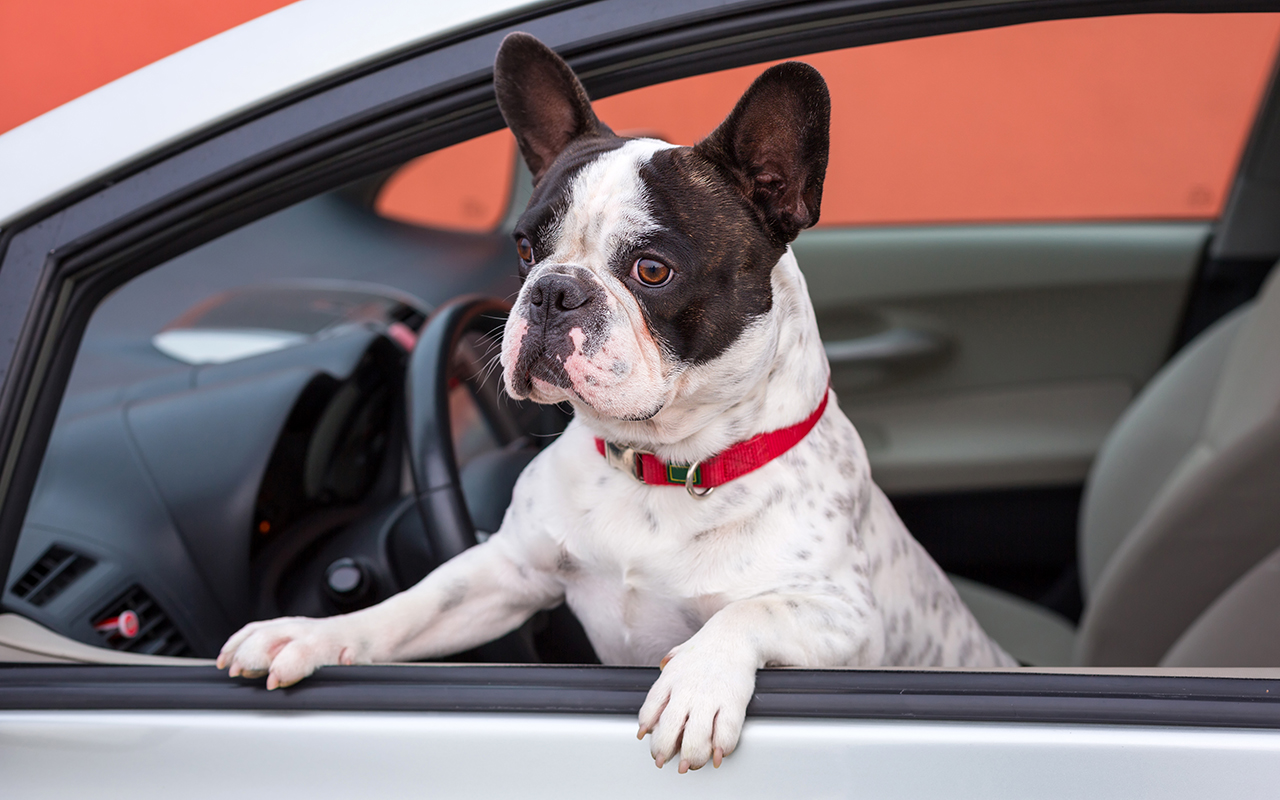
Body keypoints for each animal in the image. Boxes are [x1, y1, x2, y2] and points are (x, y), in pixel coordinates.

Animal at [222, 32, 1018, 773]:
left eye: (652, 270)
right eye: (524, 248)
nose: (552, 290)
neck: (660, 463)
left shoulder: (849, 621)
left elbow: (752, 609)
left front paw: (695, 686)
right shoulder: (506, 573)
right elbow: (414, 604)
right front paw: (311, 632)